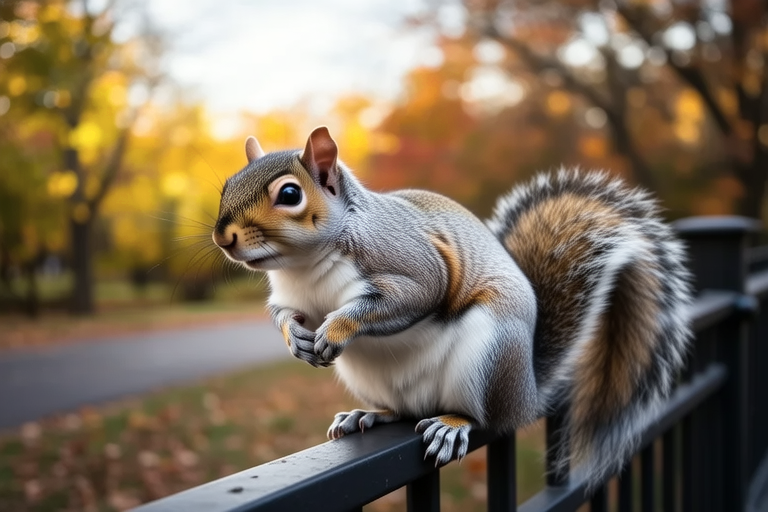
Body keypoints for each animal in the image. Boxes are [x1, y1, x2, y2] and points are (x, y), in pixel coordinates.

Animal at [212, 126, 692, 485]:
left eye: (290, 194)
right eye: (226, 186)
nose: (223, 236)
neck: (304, 266)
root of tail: (528, 395)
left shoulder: (412, 264)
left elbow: (407, 297)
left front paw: (335, 329)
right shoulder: (289, 297)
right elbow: (284, 316)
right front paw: (296, 338)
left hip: (489, 355)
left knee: (485, 417)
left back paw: (451, 424)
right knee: (399, 411)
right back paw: (367, 414)